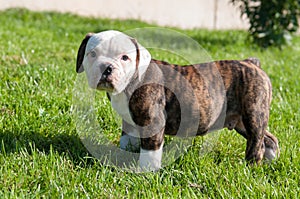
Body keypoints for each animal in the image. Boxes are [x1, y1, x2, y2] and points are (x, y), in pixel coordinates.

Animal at [75, 30, 278, 170]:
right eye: (92, 54)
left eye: (125, 57)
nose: (106, 67)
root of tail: (251, 63)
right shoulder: (129, 121)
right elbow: (127, 138)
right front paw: (123, 153)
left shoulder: (152, 121)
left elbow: (150, 149)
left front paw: (146, 170)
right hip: (241, 120)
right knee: (267, 138)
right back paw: (271, 158)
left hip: (253, 112)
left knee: (256, 141)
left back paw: (251, 165)